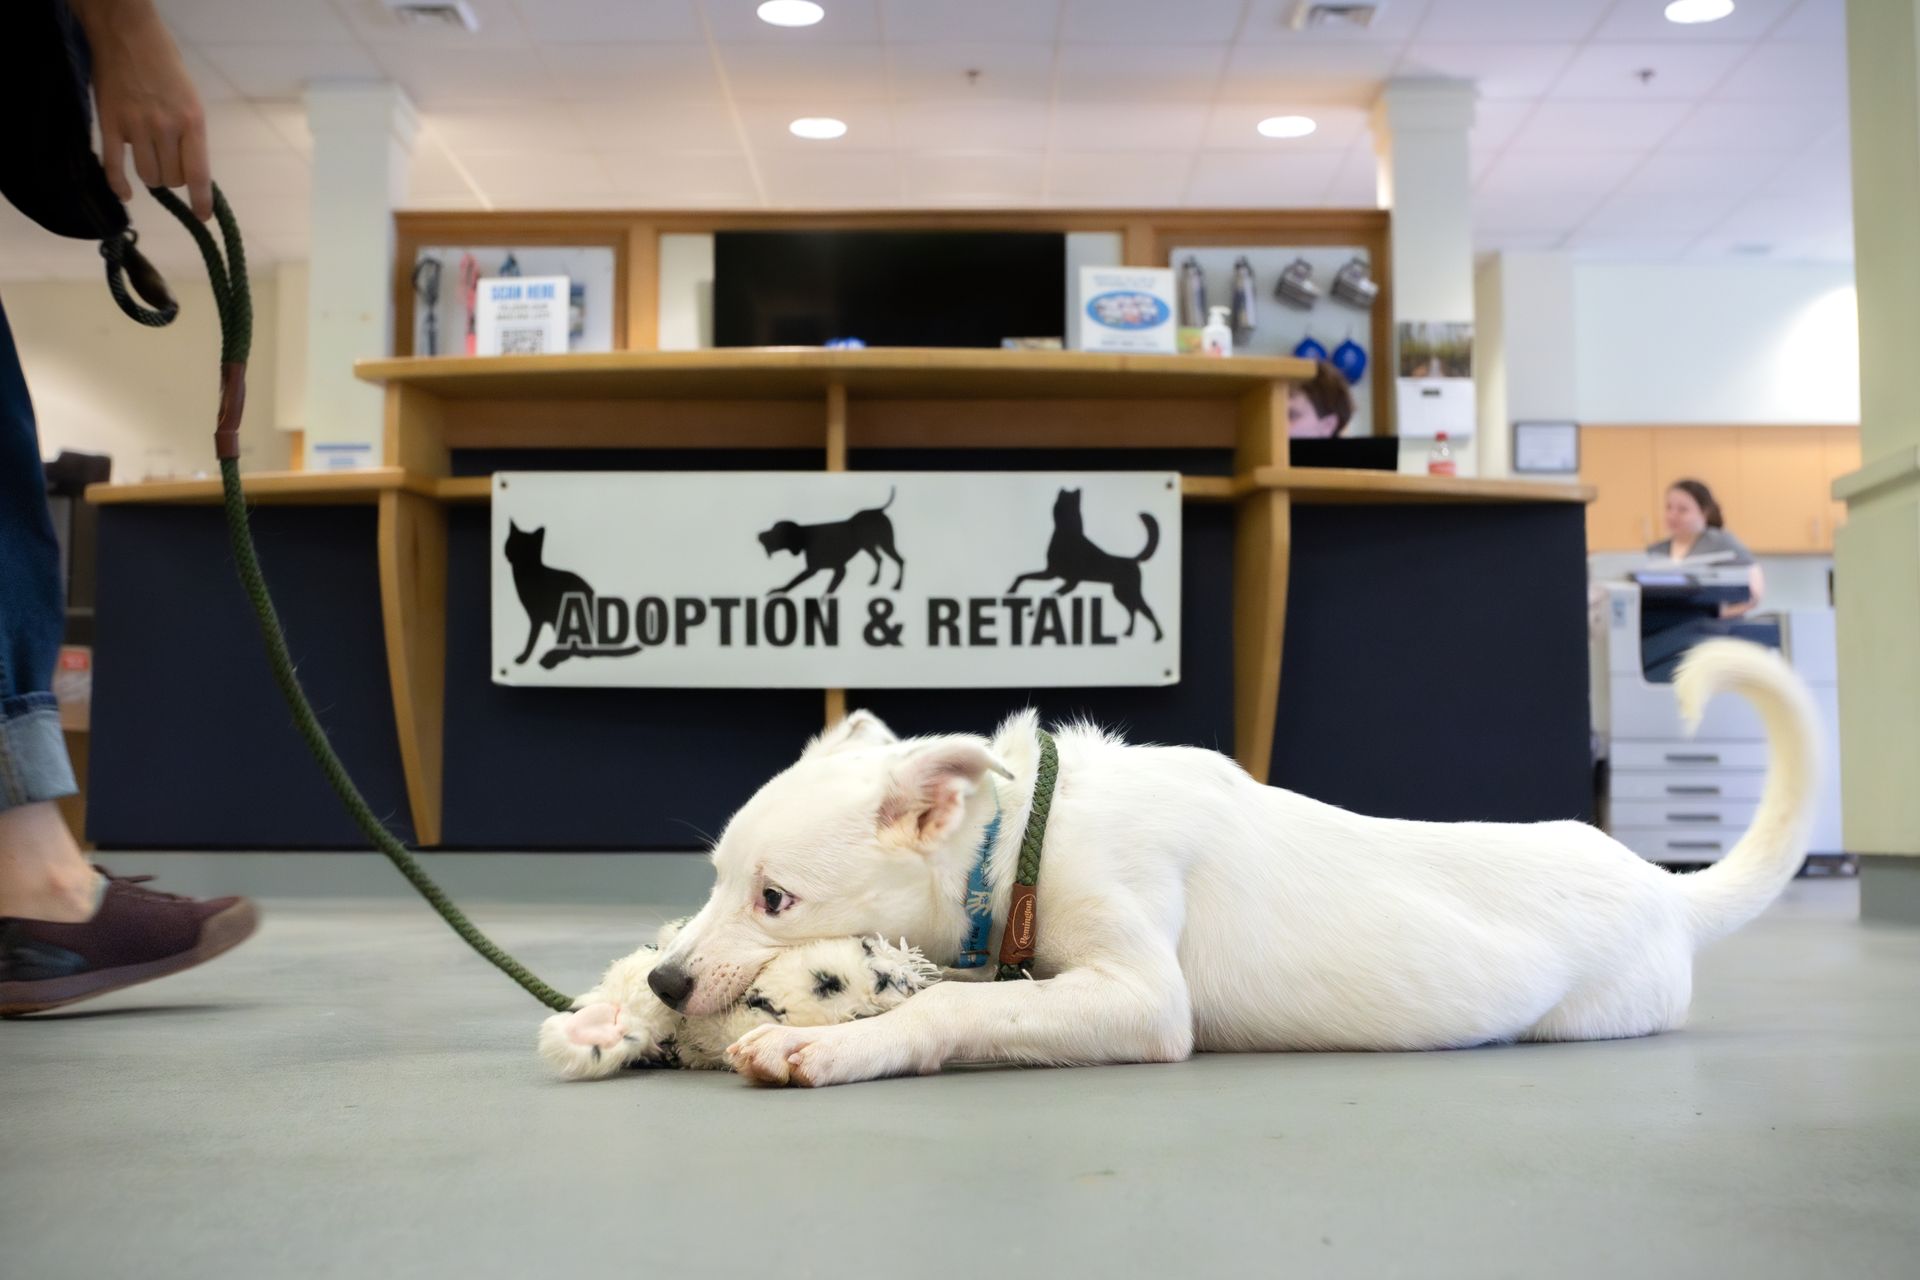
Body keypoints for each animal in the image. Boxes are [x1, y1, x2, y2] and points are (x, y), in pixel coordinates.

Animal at [564, 640, 1812, 1090]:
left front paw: (827, 1042)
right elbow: (965, 986)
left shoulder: (1141, 997)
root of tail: (1661, 885)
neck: (1031, 830)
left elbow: (950, 1009)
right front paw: (610, 1015)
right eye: (715, 878)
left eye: (778, 899)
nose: (669, 982)